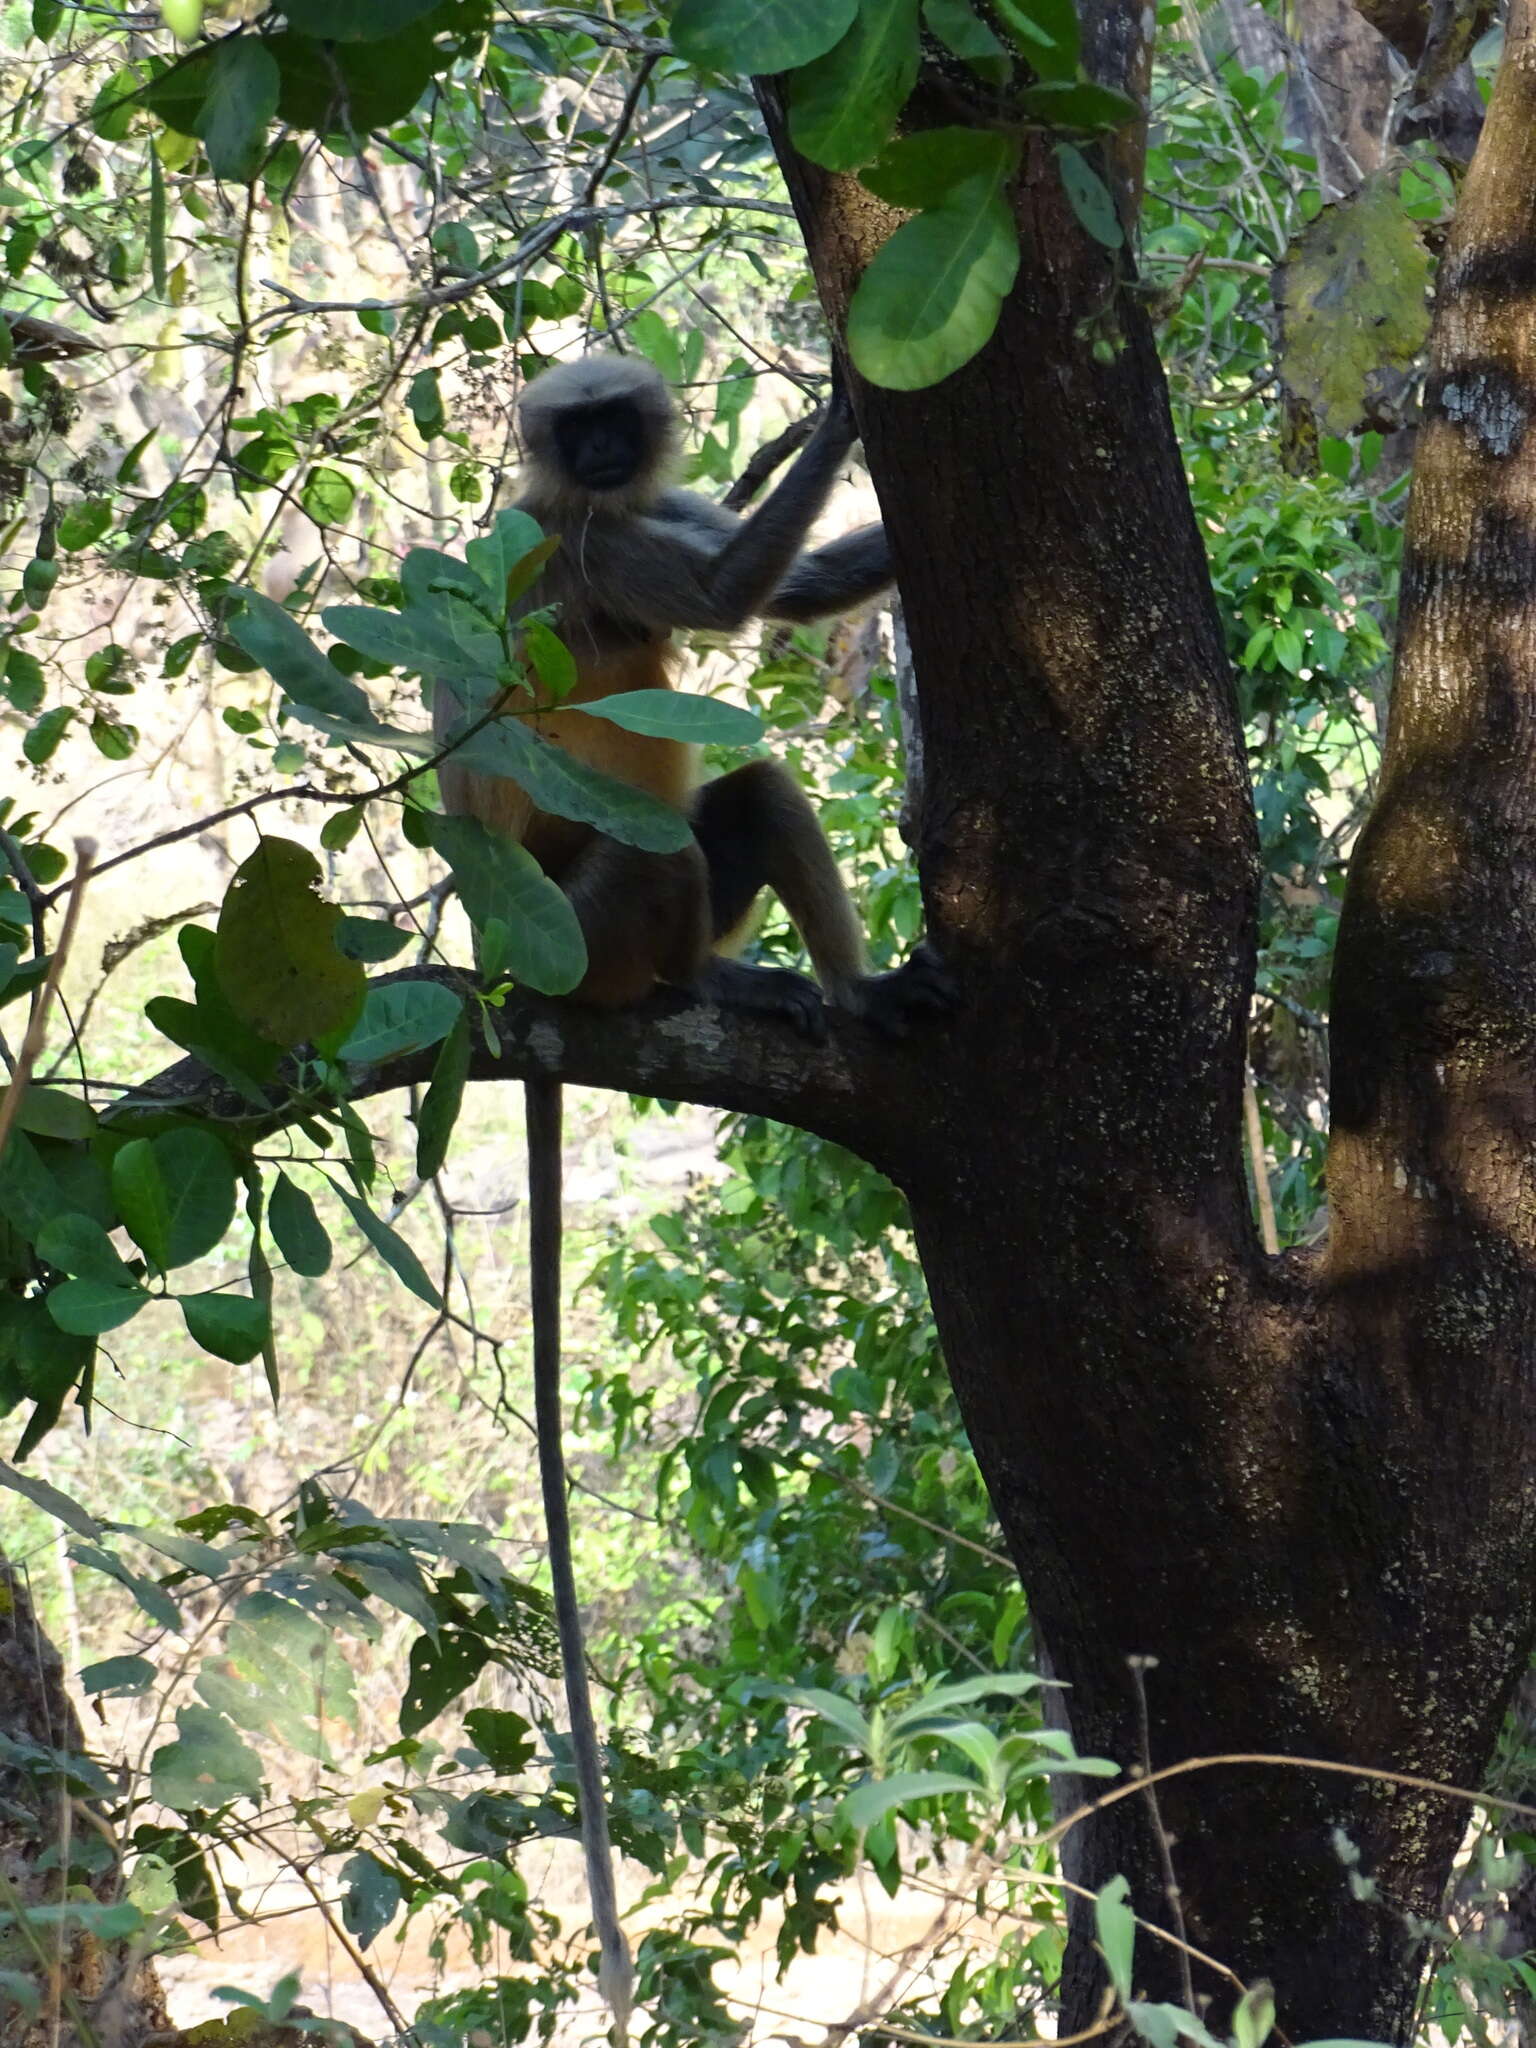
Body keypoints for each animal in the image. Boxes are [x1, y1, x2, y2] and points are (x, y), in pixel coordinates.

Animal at [434, 360, 958, 2039]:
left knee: (752, 792)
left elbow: (783, 585)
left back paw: (806, 989)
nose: (605, 450)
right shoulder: (596, 544)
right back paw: (774, 1002)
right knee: (672, 827)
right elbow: (728, 600)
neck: (591, 498)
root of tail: (513, 983)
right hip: (590, 925)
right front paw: (847, 399)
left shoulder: (632, 515)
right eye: (577, 431)